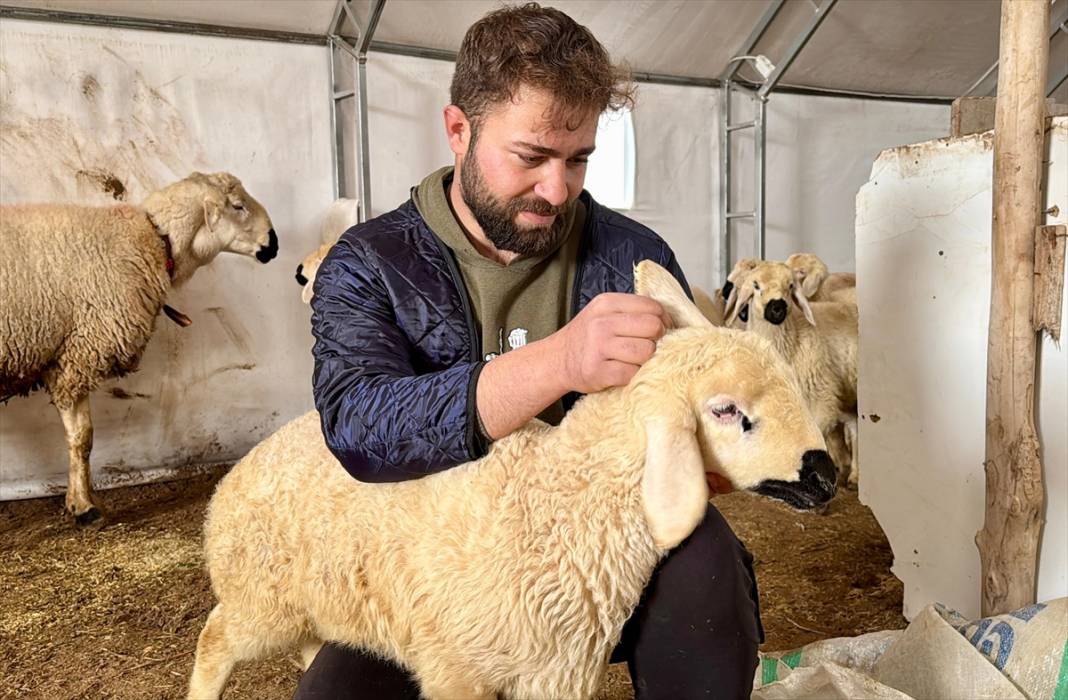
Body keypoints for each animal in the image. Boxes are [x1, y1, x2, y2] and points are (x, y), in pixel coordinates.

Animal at [0, 172, 279, 523]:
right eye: (239, 206)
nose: (274, 243)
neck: (154, 240)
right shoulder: (79, 355)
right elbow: (82, 439)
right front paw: (84, 506)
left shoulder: (68, 357)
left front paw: (83, 500)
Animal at [187, 259, 837, 700]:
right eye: (726, 411)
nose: (827, 475)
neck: (559, 500)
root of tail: (235, 477)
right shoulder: (456, 668)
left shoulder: (558, 674)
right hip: (259, 598)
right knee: (214, 638)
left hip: (314, 601)